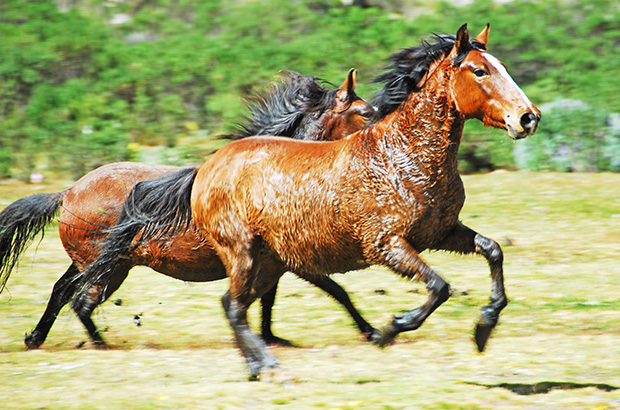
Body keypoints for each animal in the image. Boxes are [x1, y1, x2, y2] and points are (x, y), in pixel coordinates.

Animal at [0, 69, 378, 350]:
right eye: (366, 113)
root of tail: (69, 192)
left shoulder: (272, 261)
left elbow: (268, 300)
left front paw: (270, 338)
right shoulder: (289, 258)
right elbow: (334, 290)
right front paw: (371, 331)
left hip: (95, 262)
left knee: (63, 291)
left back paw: (36, 338)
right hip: (108, 267)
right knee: (81, 301)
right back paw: (99, 344)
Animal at [71, 24, 536, 380]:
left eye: (502, 67)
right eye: (479, 70)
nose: (528, 117)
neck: (403, 156)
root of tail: (206, 168)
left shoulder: (440, 232)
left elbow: (492, 251)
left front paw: (484, 326)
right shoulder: (385, 244)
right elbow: (438, 287)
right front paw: (390, 329)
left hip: (263, 260)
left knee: (234, 305)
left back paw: (255, 362)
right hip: (240, 251)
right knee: (231, 306)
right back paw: (266, 365)